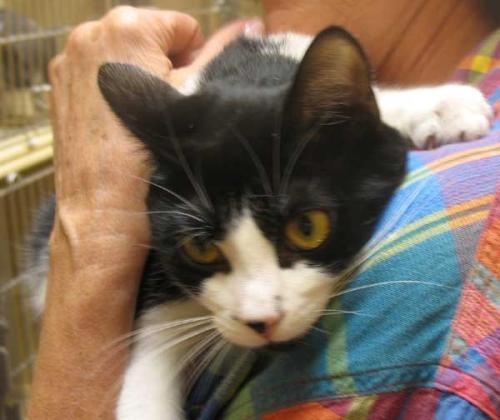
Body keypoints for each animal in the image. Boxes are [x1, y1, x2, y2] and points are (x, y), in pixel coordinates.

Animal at [28, 27, 492, 419]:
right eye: (200, 248)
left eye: (307, 229)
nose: (261, 321)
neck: (248, 72)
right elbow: (152, 341)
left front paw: (442, 106)